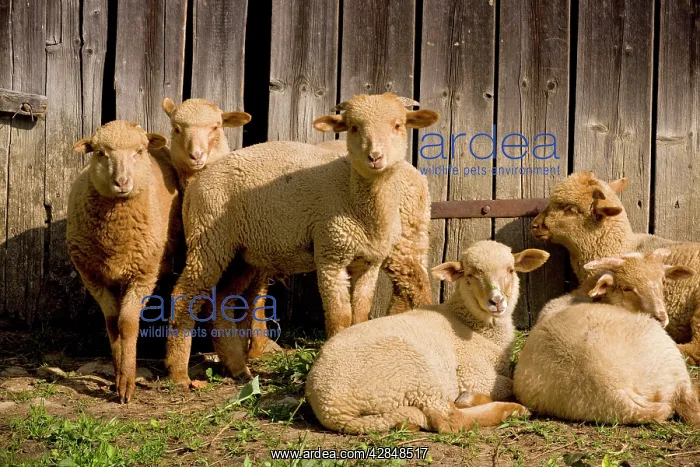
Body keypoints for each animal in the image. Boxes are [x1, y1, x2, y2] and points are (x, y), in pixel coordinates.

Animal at [66, 120, 181, 403]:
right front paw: (118, 374)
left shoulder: (142, 275)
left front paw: (127, 383)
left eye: (139, 151)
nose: (122, 182)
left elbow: (127, 324)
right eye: (100, 153)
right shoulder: (92, 276)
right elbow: (111, 322)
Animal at [164, 93, 440, 388]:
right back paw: (180, 374)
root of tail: (198, 184)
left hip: (240, 253)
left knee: (222, 299)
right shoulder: (331, 255)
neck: (355, 198)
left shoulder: (369, 262)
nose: (375, 157)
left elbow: (360, 315)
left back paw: (238, 368)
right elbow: (340, 318)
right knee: (186, 295)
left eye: (398, 125)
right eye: (354, 127)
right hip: (210, 240)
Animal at [305, 240, 549, 434]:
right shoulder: (472, 372)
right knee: (449, 420)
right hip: (416, 374)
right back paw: (506, 409)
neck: (471, 324)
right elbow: (511, 386)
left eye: (510, 270)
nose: (497, 301)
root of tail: (331, 409)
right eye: (470, 275)